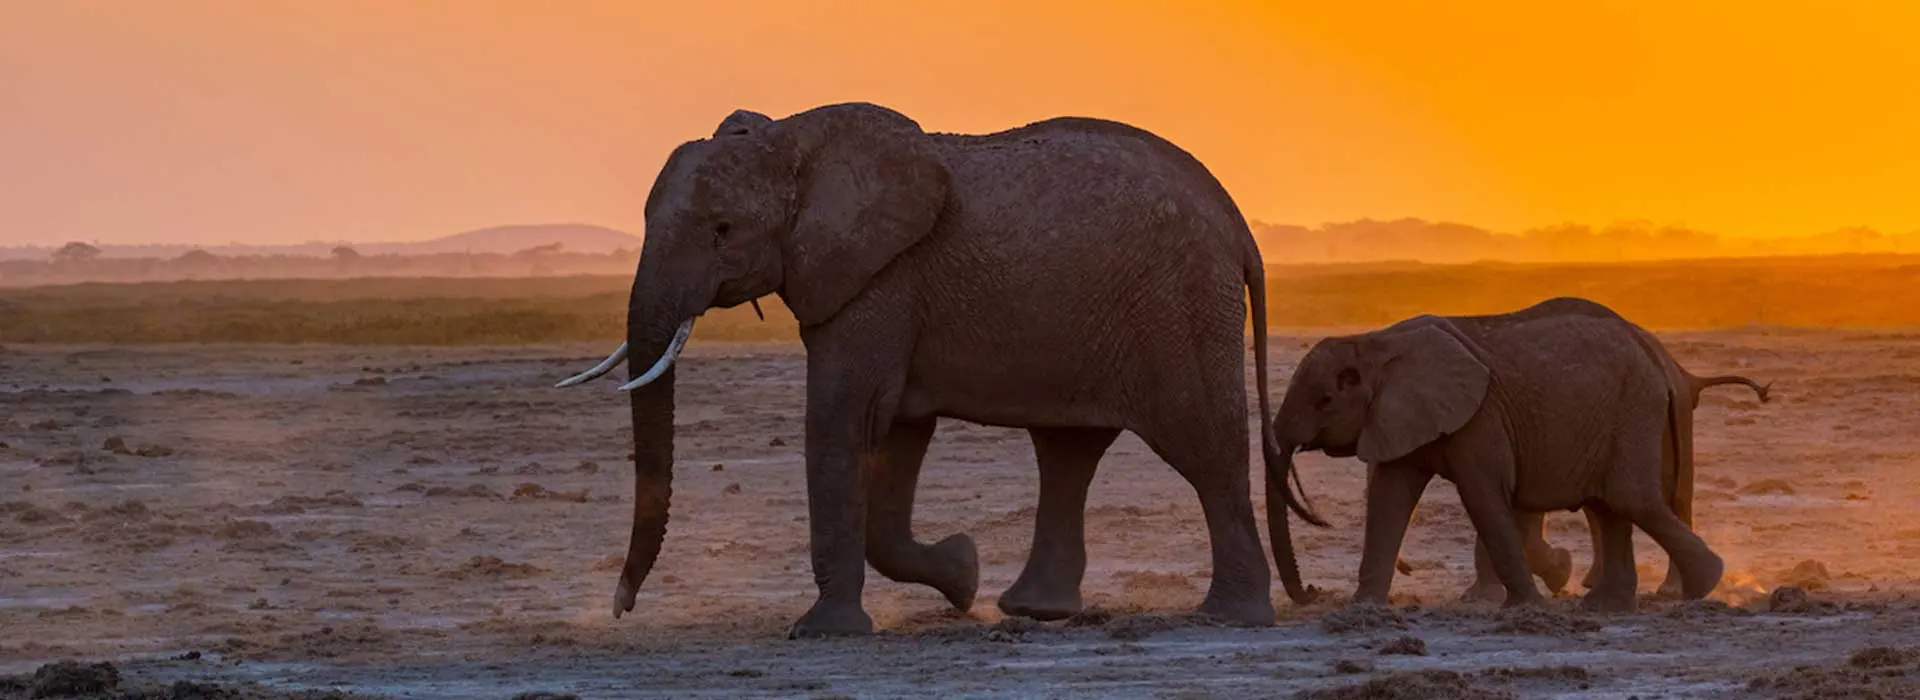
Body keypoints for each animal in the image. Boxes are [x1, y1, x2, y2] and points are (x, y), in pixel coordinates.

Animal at [556, 103, 1320, 636]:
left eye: (722, 230)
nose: (620, 607)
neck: (796, 139)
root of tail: (1237, 224)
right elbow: (895, 434)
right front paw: (962, 574)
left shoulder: (880, 280)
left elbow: (844, 420)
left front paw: (823, 633)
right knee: (1068, 451)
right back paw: (1034, 610)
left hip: (1177, 305)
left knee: (1201, 446)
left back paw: (1227, 617)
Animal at [1274, 295, 1743, 609]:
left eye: (1324, 401)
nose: (1312, 592)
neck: (1375, 342)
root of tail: (1662, 362)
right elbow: (1391, 498)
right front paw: (1364, 609)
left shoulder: (1481, 417)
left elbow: (1484, 497)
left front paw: (1528, 606)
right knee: (1609, 504)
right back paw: (1607, 605)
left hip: (1634, 408)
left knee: (1630, 498)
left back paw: (1698, 587)